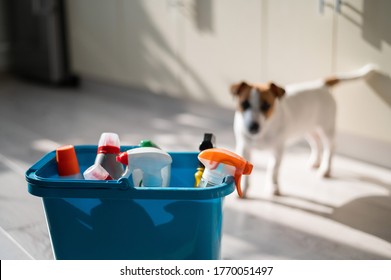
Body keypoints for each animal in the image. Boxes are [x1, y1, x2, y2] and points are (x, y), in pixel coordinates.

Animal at [231, 65, 378, 197]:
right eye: (244, 104)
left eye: (266, 106)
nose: (253, 127)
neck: (264, 131)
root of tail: (321, 84)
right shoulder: (244, 148)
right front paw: (243, 189)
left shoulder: (277, 150)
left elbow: (273, 170)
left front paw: (273, 187)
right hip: (308, 129)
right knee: (316, 143)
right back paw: (315, 162)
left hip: (327, 128)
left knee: (330, 146)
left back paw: (326, 169)